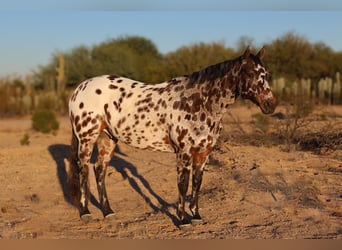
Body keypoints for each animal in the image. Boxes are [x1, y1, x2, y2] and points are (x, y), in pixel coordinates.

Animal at [67, 47, 278, 229]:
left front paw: (196, 216)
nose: (271, 105)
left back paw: (108, 211)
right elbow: (183, 185)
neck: (198, 102)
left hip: (108, 138)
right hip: (87, 139)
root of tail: (80, 88)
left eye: (266, 74)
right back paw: (85, 212)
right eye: (249, 74)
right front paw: (183, 220)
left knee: (99, 169)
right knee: (83, 169)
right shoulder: (184, 152)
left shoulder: (204, 152)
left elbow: (197, 183)